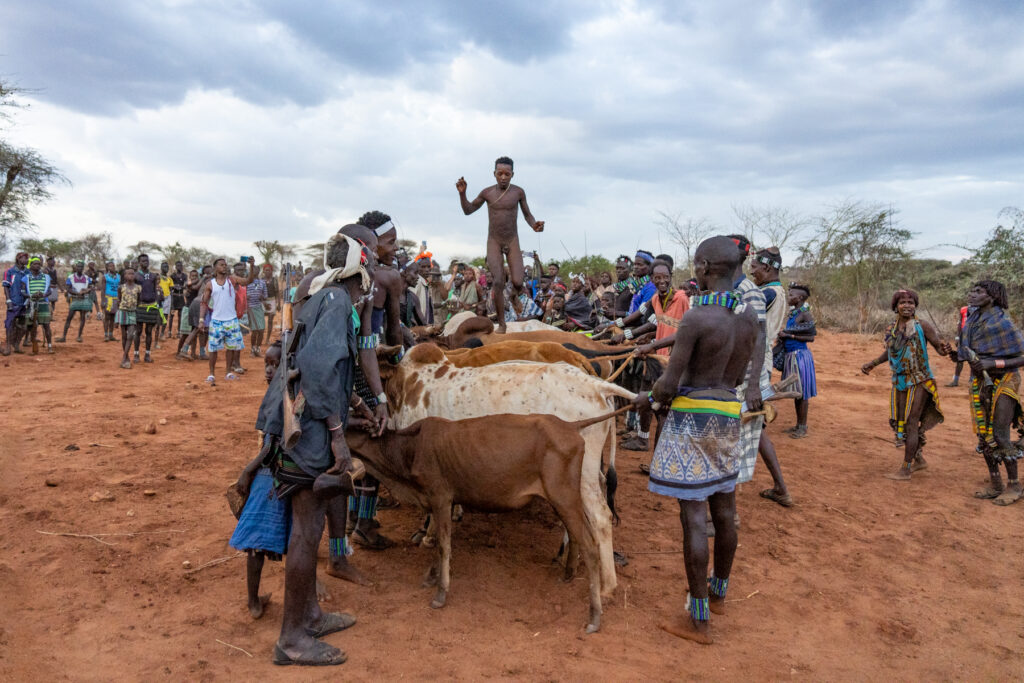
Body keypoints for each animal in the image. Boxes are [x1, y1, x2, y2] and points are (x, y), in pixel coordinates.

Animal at [344, 405, 626, 634]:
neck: (406, 452)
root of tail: (569, 425)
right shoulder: (445, 500)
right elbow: (440, 541)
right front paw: (432, 576)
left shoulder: (440, 496)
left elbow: (443, 545)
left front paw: (441, 593)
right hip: (564, 498)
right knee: (576, 535)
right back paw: (568, 574)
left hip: (563, 495)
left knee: (591, 545)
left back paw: (594, 616)